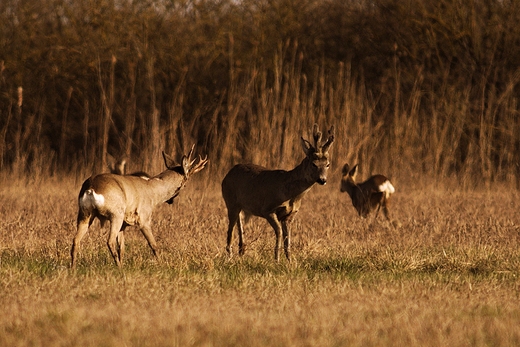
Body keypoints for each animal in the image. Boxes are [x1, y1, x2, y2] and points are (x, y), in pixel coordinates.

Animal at [70, 145, 208, 268]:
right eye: (185, 184)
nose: (171, 201)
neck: (154, 192)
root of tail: (91, 187)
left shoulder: (124, 224)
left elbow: (122, 248)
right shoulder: (144, 218)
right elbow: (153, 245)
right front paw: (162, 265)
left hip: (84, 213)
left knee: (75, 240)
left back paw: (74, 268)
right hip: (116, 213)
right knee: (109, 241)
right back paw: (118, 268)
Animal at [221, 123, 336, 262]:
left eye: (328, 164)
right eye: (314, 164)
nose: (322, 180)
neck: (291, 194)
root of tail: (227, 175)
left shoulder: (290, 215)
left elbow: (288, 239)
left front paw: (290, 261)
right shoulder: (268, 209)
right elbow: (279, 233)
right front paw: (276, 259)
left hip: (241, 206)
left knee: (239, 224)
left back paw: (241, 251)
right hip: (230, 200)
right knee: (230, 231)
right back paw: (229, 257)